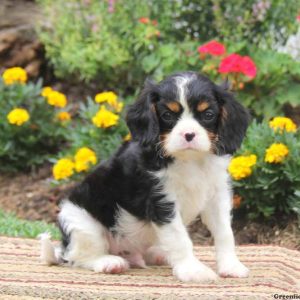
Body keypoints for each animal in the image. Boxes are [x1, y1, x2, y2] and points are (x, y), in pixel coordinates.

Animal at [40, 71, 251, 282]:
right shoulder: (162, 201)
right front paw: (193, 270)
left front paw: (231, 266)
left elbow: (225, 233)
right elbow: (179, 238)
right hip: (80, 222)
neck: (190, 160)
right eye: (167, 115)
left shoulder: (217, 196)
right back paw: (109, 262)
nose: (189, 134)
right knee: (78, 257)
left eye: (208, 115)